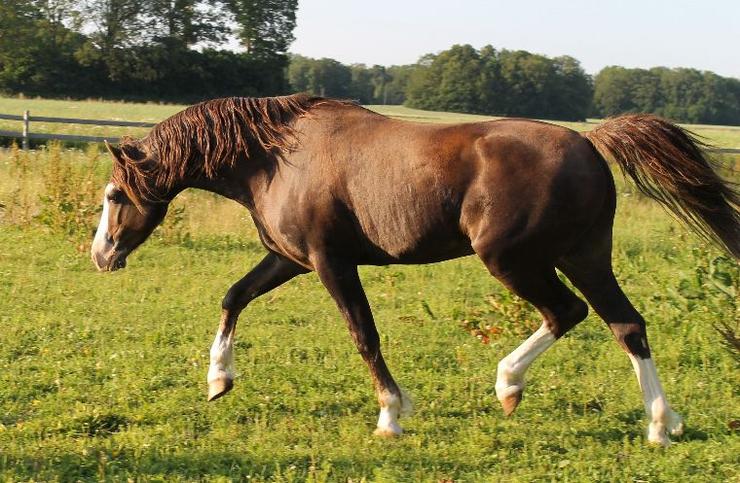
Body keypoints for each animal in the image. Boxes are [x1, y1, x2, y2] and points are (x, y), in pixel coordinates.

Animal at [89, 94, 736, 446]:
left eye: (115, 196)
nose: (100, 256)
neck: (275, 158)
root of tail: (588, 143)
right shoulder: (290, 259)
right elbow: (233, 296)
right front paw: (218, 380)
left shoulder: (329, 262)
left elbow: (363, 335)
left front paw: (391, 416)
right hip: (584, 255)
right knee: (626, 324)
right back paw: (661, 424)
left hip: (513, 259)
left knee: (567, 312)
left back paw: (510, 385)